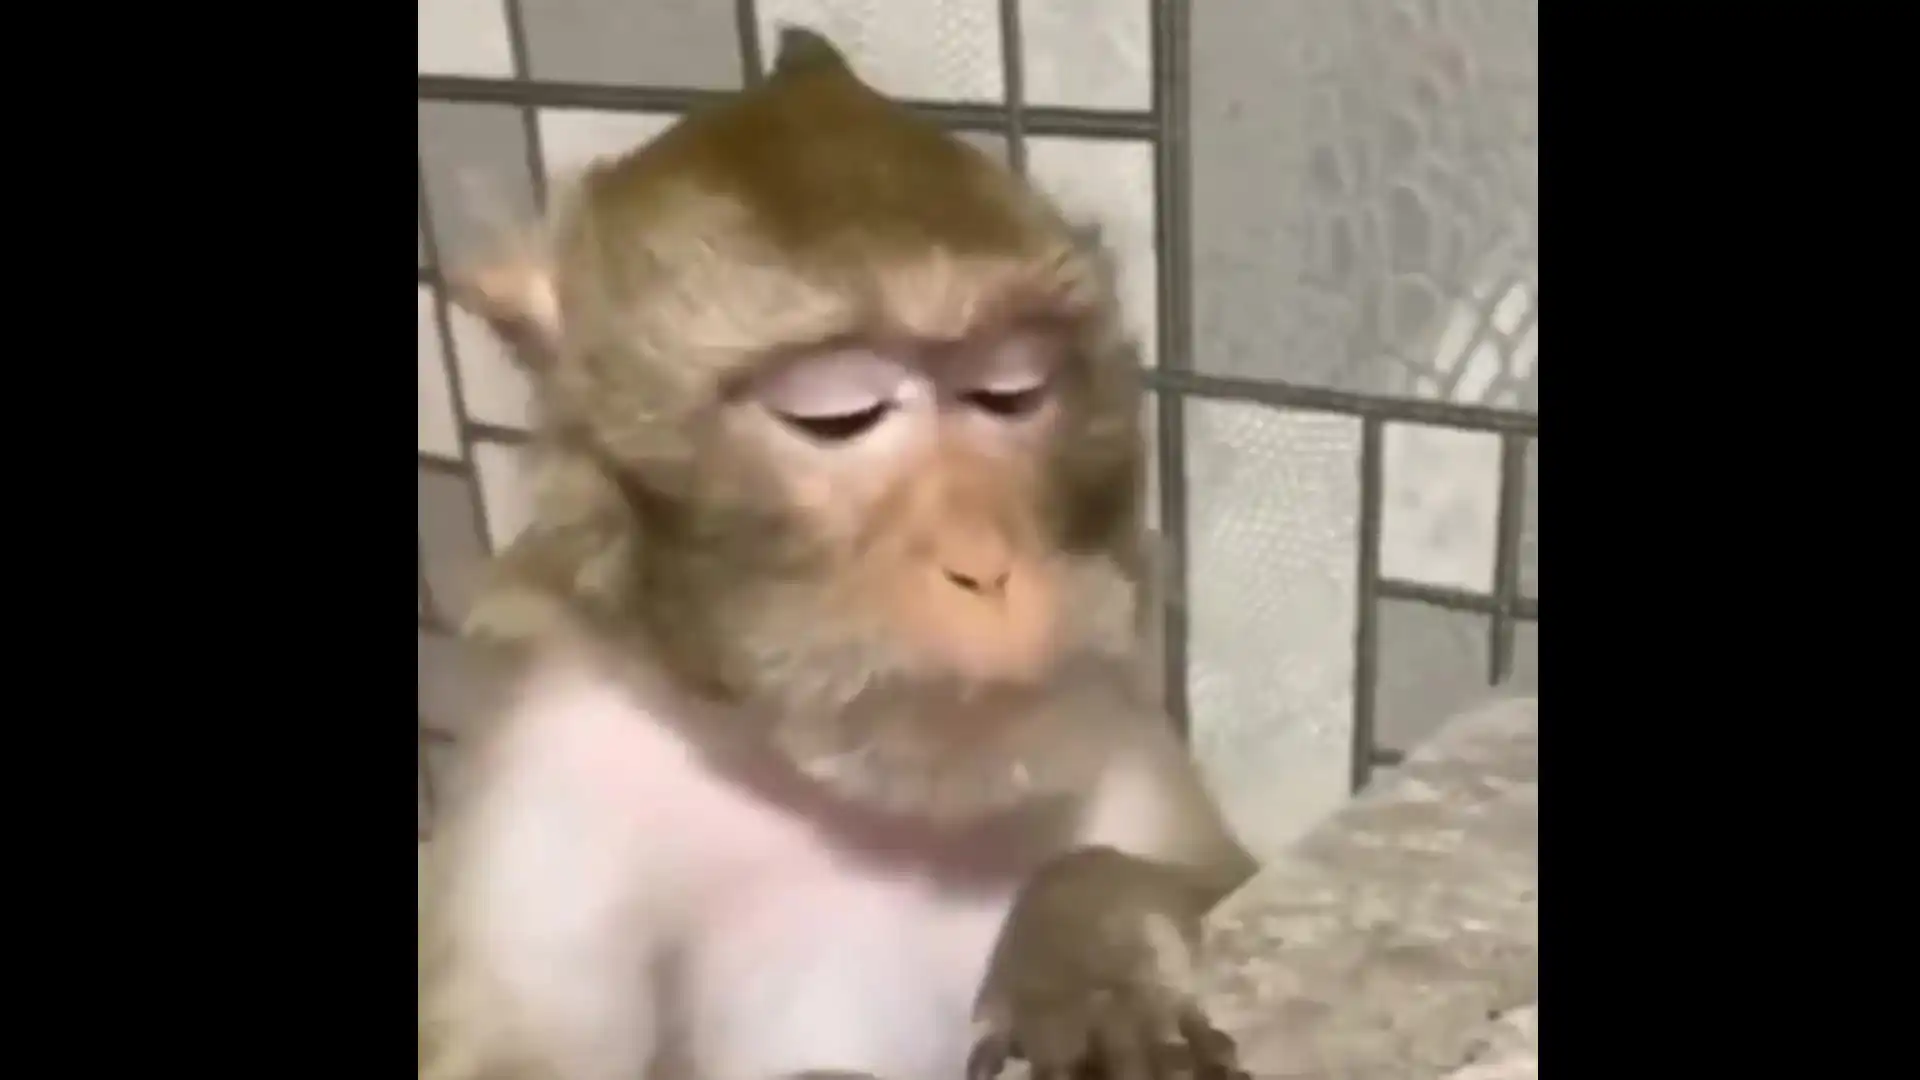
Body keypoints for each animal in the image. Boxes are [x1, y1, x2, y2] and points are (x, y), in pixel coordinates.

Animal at [420, 26, 1258, 1080]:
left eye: (1012, 391)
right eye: (837, 416)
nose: (985, 567)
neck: (854, 806)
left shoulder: (1114, 729)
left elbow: (1221, 877)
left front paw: (1086, 943)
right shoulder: (544, 791)